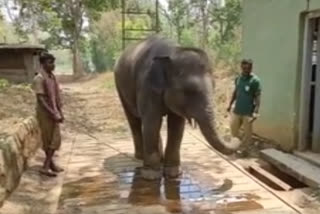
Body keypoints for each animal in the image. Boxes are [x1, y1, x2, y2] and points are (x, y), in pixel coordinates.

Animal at [114, 35, 238, 181]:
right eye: (190, 91)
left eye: (214, 88)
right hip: (120, 86)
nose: (235, 138)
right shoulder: (146, 86)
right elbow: (152, 121)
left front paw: (173, 173)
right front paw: (151, 175)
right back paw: (140, 157)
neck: (174, 52)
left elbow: (176, 126)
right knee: (134, 120)